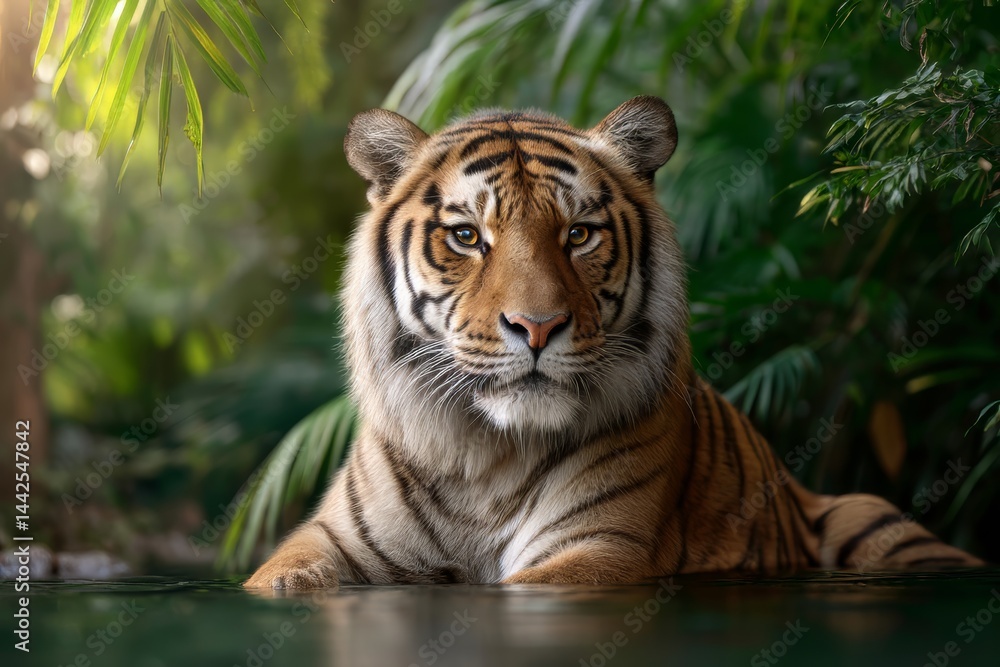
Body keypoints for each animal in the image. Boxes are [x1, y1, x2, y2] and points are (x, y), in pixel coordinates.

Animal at [244, 96, 981, 589]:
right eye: (467, 236)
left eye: (578, 234)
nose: (537, 327)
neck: (486, 457)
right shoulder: (326, 542)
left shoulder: (597, 549)